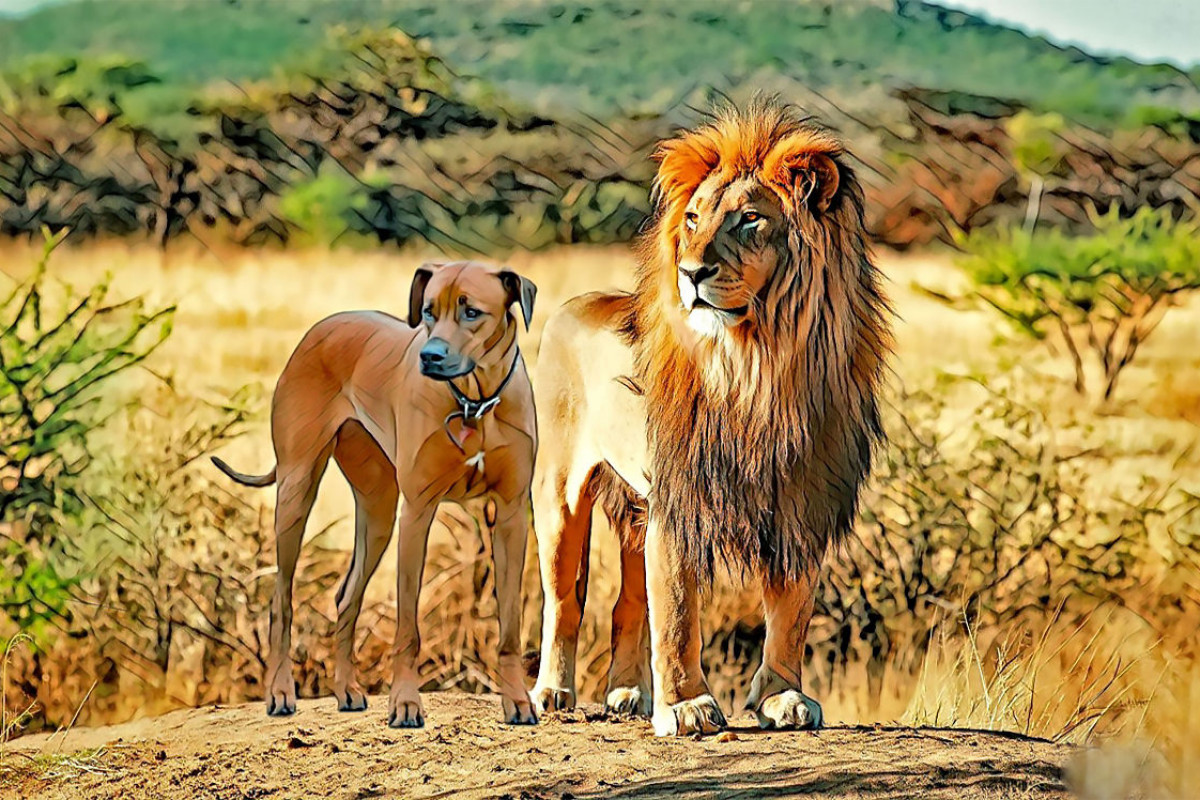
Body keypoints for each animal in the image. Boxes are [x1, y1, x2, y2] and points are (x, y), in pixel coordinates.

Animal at [212, 260, 540, 729]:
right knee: (281, 599)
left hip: (378, 511)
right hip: (297, 490)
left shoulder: (512, 514)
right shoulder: (417, 511)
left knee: (346, 594)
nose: (430, 356)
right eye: (428, 310)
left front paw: (517, 699)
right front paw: (404, 703)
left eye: (472, 312)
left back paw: (346, 690)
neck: (474, 402)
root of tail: (320, 327)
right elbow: (407, 627)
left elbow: (510, 623)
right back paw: (280, 691)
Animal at [528, 100, 892, 738]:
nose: (690, 272)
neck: (758, 365)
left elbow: (791, 609)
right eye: (694, 219)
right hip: (559, 491)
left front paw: (782, 697)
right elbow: (676, 612)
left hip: (635, 506)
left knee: (627, 603)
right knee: (563, 601)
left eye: (749, 220)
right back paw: (552, 692)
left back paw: (627, 694)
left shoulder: (801, 497)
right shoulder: (680, 498)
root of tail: (575, 302)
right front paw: (687, 707)